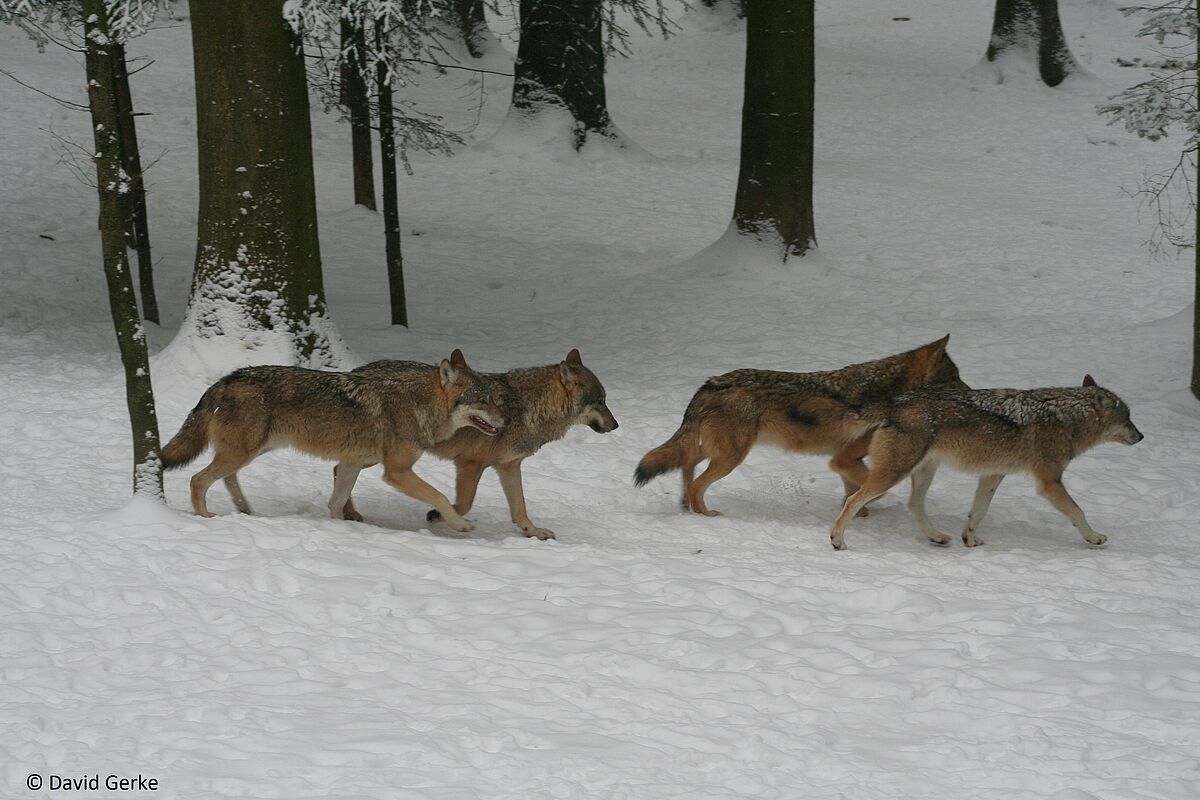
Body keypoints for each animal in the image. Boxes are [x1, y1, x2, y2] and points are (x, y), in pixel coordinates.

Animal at [157, 347, 504, 527]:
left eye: (492, 397)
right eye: (482, 400)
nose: (506, 420)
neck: (419, 403)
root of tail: (227, 379)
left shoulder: (352, 464)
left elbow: (337, 502)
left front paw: (340, 528)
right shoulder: (397, 472)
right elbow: (440, 496)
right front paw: (461, 525)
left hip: (252, 450)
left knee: (227, 478)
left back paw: (246, 511)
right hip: (243, 452)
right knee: (198, 480)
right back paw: (205, 517)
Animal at [338, 347, 619, 542]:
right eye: (600, 402)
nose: (616, 425)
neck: (527, 407)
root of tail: (355, 371)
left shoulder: (509, 467)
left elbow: (520, 509)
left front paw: (533, 532)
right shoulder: (470, 464)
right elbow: (464, 503)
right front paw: (439, 515)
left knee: (338, 470)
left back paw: (348, 512)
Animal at [638, 335, 964, 515]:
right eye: (954, 378)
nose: (969, 394)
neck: (888, 392)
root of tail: (710, 383)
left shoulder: (846, 462)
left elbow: (852, 493)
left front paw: (857, 514)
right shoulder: (844, 459)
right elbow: (872, 491)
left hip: (720, 452)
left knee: (686, 463)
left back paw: (684, 505)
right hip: (730, 457)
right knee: (696, 483)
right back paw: (705, 515)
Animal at [830, 376, 1137, 551]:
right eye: (1128, 418)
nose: (1142, 436)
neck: (1067, 419)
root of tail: (895, 401)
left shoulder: (993, 475)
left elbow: (978, 512)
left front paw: (969, 539)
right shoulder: (1049, 482)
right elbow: (1078, 512)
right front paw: (1094, 537)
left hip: (923, 471)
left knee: (914, 505)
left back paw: (937, 537)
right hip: (894, 474)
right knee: (853, 500)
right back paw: (837, 540)